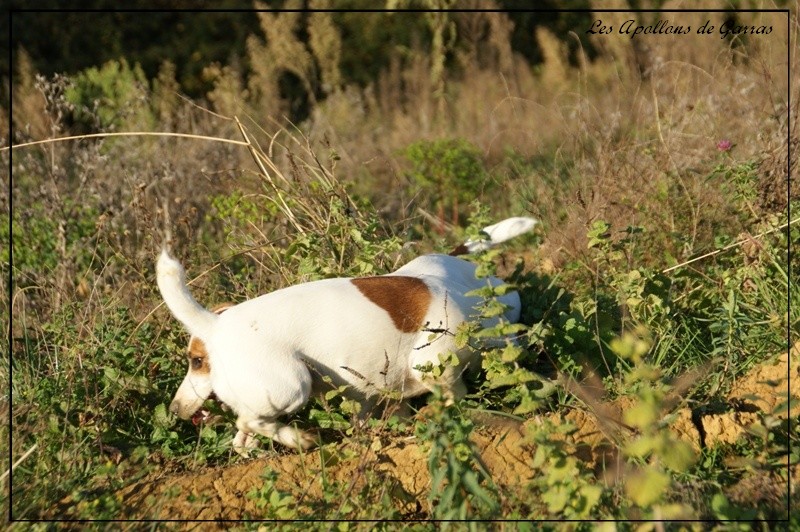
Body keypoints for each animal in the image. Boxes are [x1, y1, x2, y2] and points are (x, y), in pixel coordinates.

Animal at [158, 216, 536, 454]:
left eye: (196, 362)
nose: (174, 409)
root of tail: (214, 326)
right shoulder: (433, 368)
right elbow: (451, 396)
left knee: (244, 437)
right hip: (292, 386)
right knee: (251, 421)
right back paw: (299, 440)